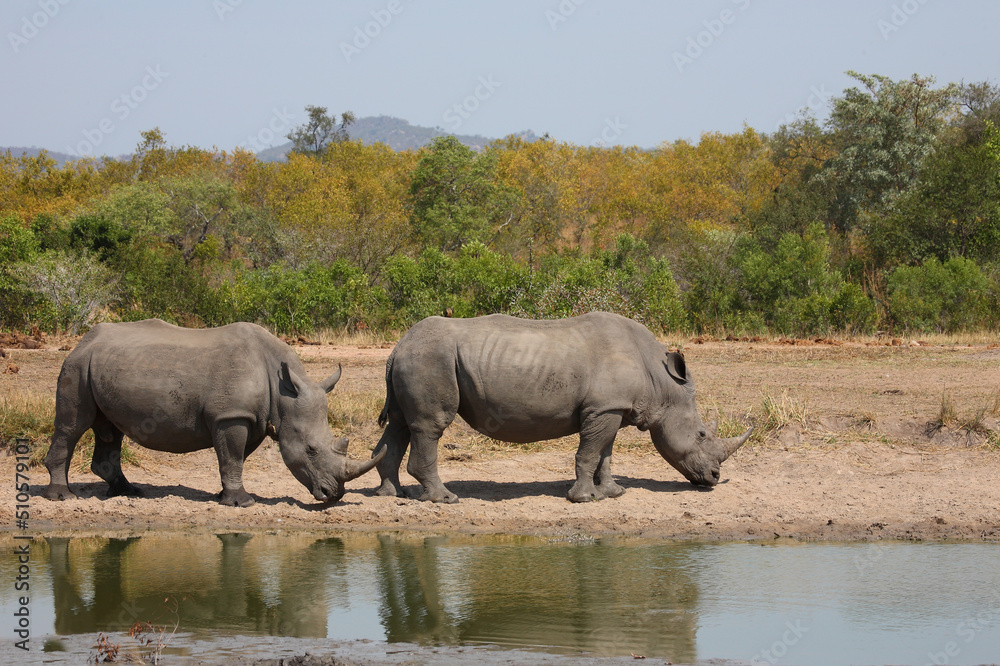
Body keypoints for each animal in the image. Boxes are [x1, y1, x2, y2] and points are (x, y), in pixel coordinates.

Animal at [42, 319, 384, 506]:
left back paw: (128, 492)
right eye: (311, 450)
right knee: (73, 426)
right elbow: (232, 456)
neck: (282, 389)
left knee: (110, 430)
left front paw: (224, 496)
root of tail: (84, 340)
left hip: (100, 365)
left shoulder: (251, 418)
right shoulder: (231, 415)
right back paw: (63, 496)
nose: (333, 495)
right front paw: (242, 502)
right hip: (77, 366)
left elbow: (236, 457)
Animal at [372, 312, 752, 503]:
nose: (714, 479)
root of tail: (397, 346)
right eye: (701, 434)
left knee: (400, 425)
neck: (660, 380)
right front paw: (584, 499)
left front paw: (613, 493)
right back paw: (444, 499)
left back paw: (393, 494)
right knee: (430, 426)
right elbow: (589, 453)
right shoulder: (603, 410)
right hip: (430, 359)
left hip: (415, 359)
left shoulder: (611, 408)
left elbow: (605, 455)